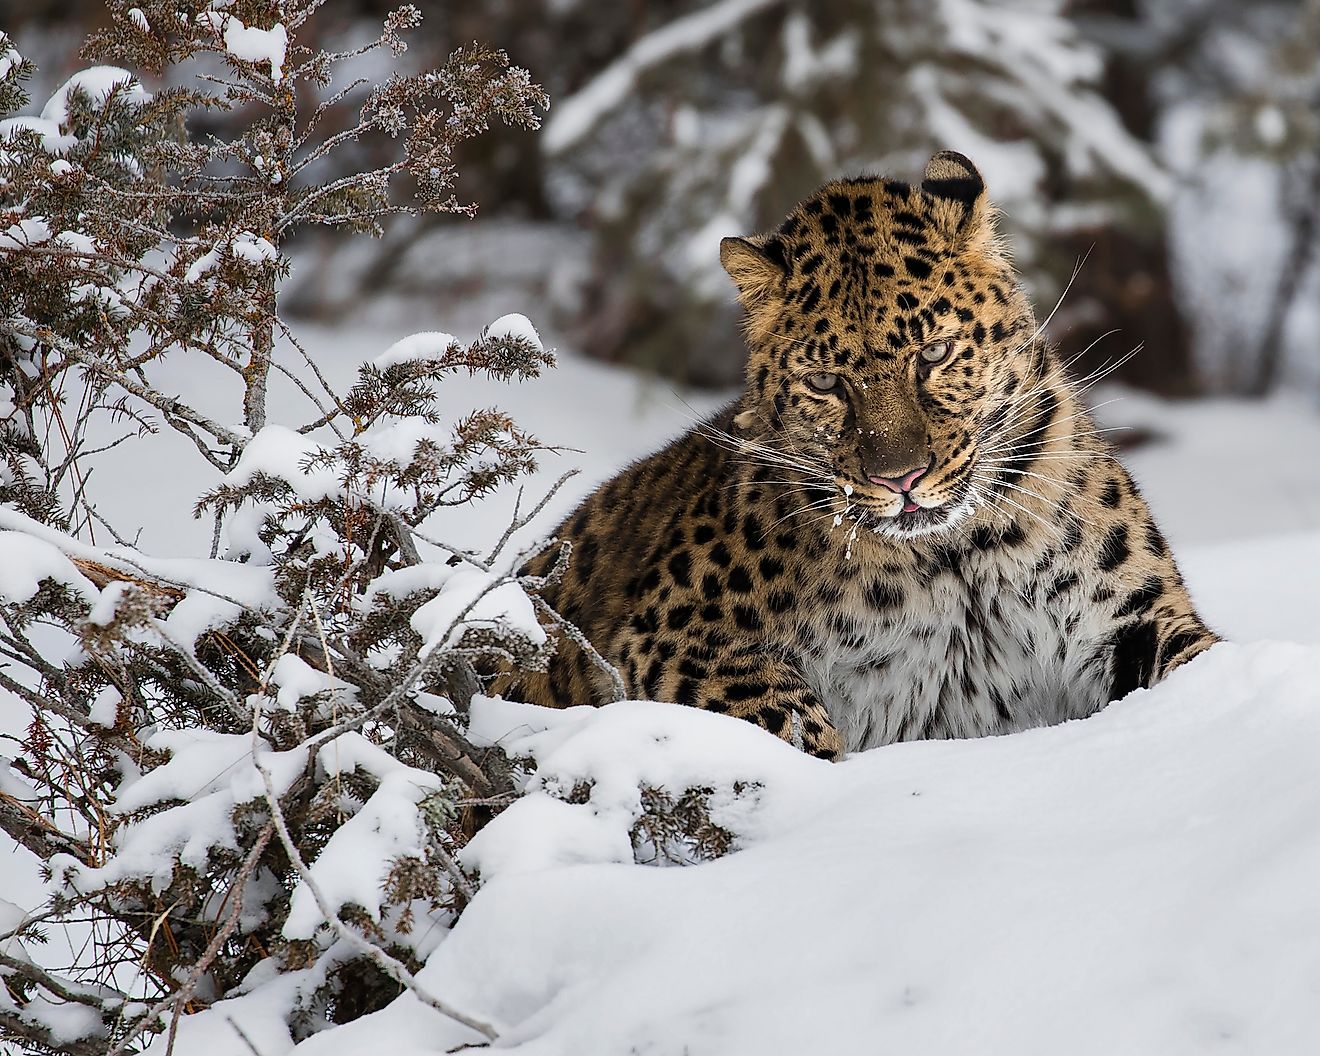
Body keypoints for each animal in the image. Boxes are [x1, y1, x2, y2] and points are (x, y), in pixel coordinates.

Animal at [506, 150, 1214, 760]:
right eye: (825, 383)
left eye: (934, 354)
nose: (902, 479)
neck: (955, 560)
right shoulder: (671, 634)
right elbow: (787, 719)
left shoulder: (1131, 617)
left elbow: (1196, 658)